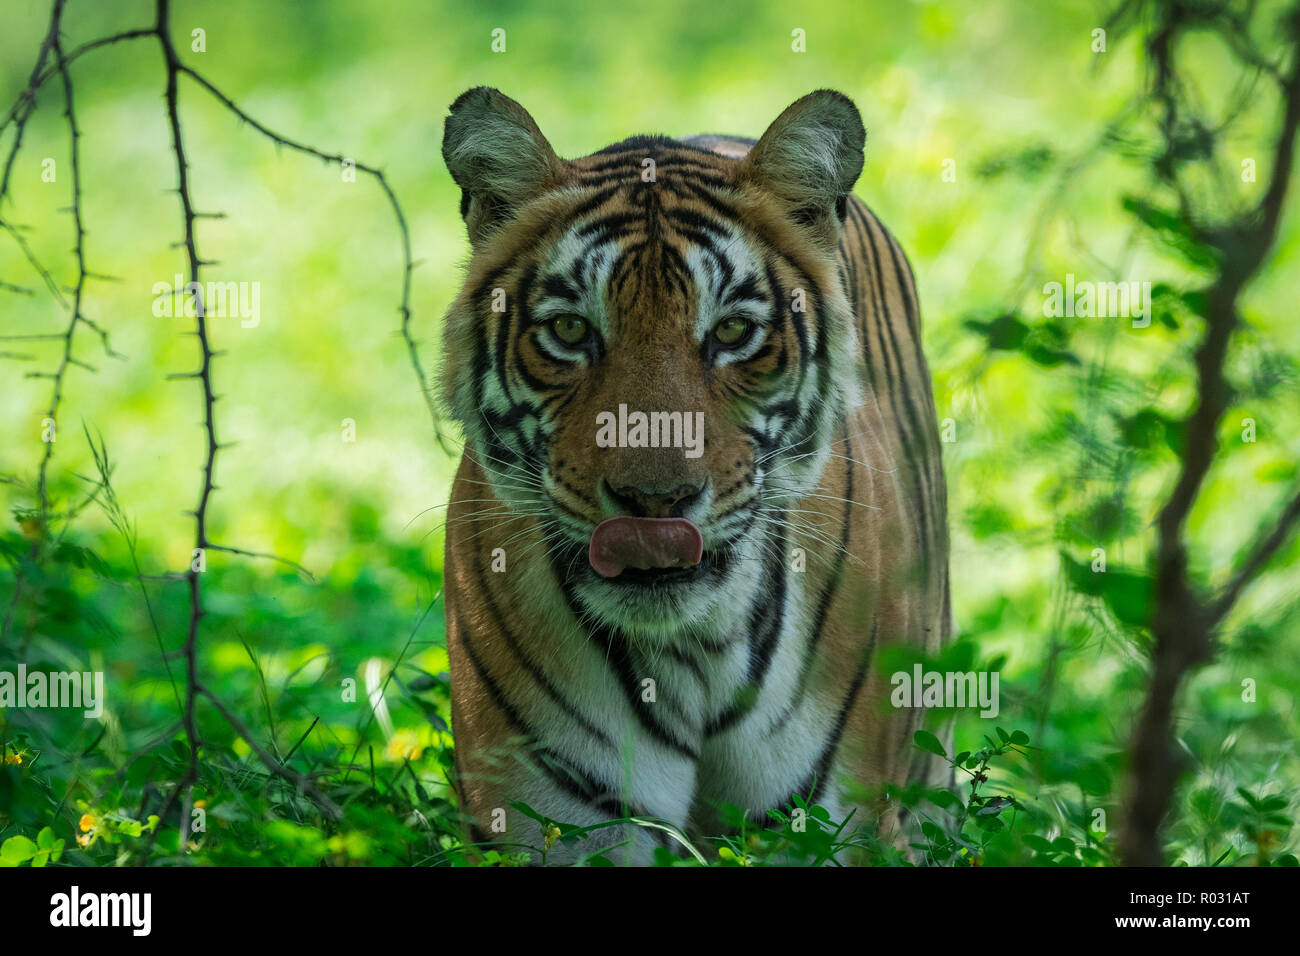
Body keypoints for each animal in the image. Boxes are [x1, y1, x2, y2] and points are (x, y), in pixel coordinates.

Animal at [438, 87, 950, 865]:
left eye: (734, 333)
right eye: (570, 331)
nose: (655, 503)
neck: (693, 649)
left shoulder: (842, 825)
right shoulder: (550, 822)